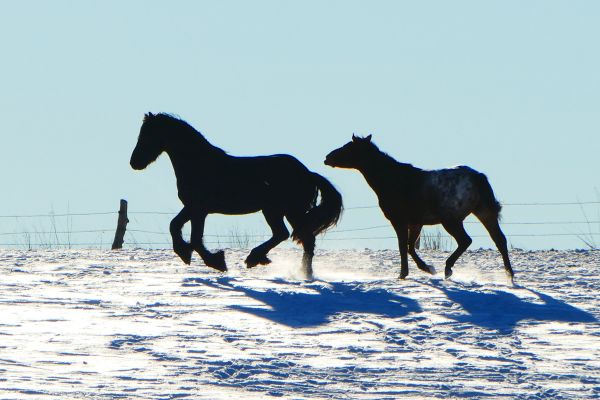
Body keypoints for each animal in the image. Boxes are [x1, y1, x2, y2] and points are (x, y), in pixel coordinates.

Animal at [130, 112, 343, 279]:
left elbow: (194, 238)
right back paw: (296, 271)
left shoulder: (199, 209)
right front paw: (186, 253)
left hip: (279, 210)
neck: (199, 164)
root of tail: (308, 173)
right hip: (285, 212)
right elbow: (175, 226)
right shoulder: (192, 208)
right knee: (299, 238)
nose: (134, 163)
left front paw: (216, 261)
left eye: (148, 135)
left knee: (288, 235)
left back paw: (260, 260)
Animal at [325, 134, 514, 281]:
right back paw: (509, 275)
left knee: (466, 241)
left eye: (348, 147)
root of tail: (477, 177)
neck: (392, 179)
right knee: (499, 240)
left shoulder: (399, 221)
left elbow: (403, 246)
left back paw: (448, 269)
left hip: (451, 221)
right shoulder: (416, 223)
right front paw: (427, 268)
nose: (327, 157)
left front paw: (404, 274)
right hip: (483, 213)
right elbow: (410, 247)